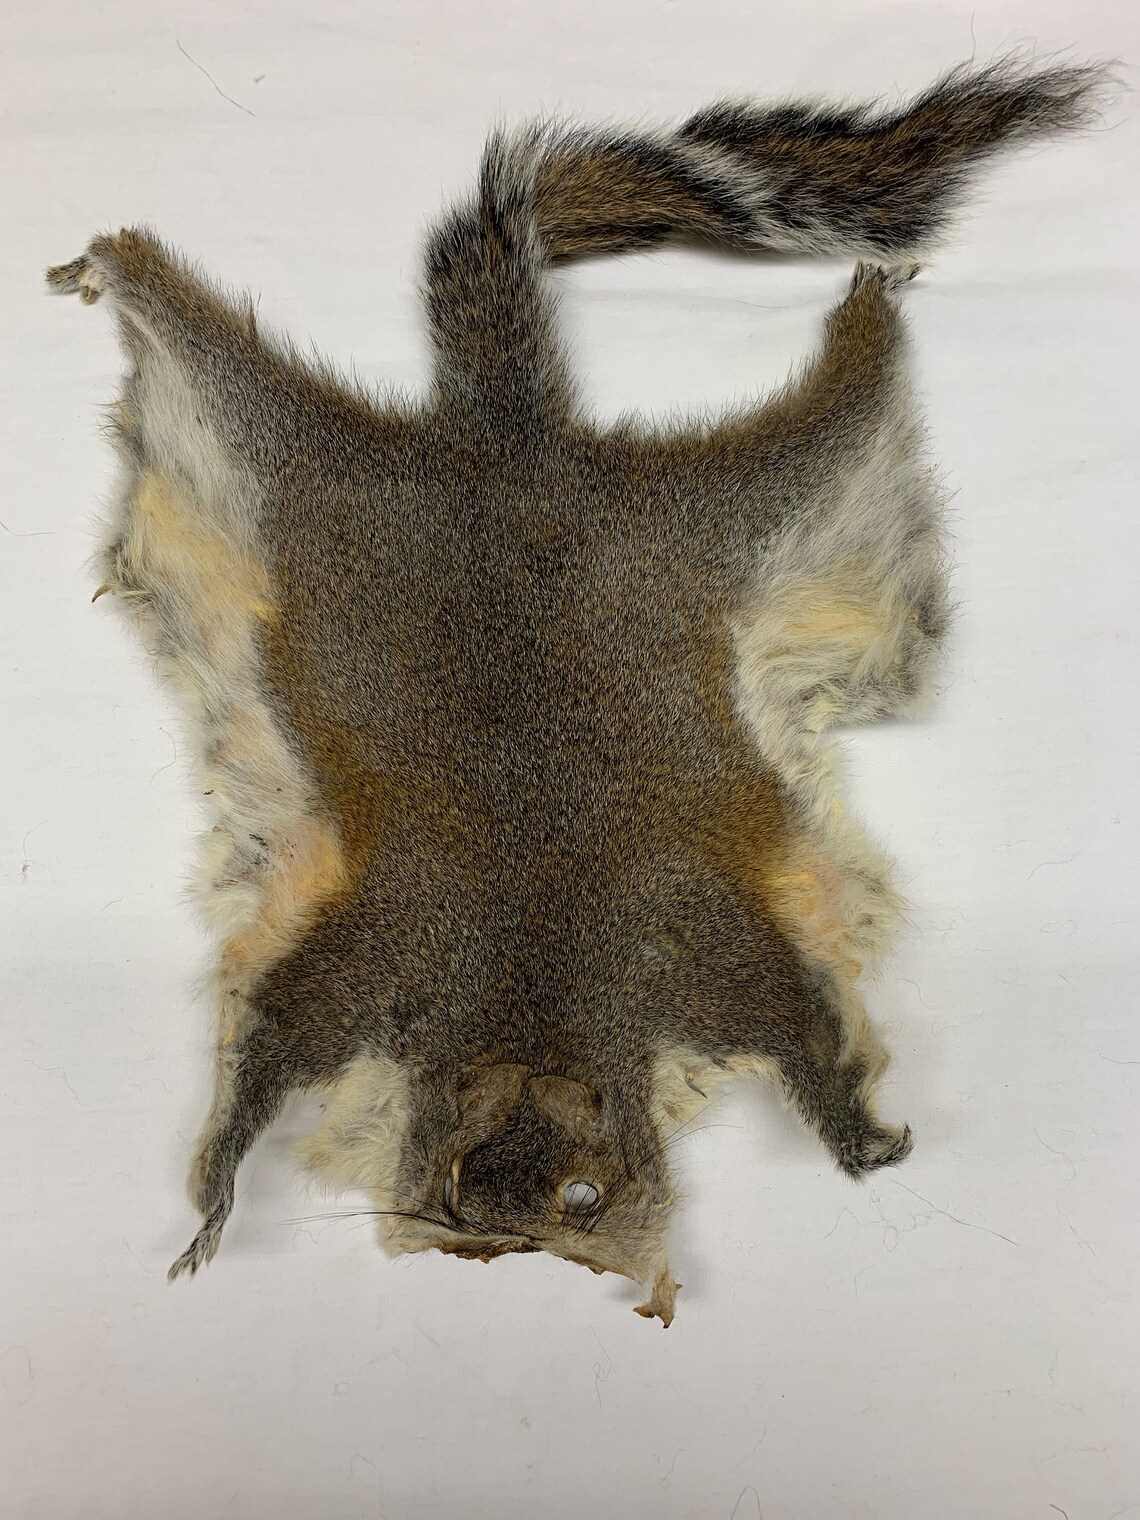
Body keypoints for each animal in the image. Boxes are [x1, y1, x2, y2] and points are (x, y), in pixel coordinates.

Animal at [48, 59, 1107, 1325]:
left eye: (590, 1193)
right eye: (446, 1179)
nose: (501, 1251)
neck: (532, 981)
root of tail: (511, 447)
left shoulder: (697, 953)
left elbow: (802, 1025)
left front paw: (859, 1133)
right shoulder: (371, 963)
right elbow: (263, 1051)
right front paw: (213, 1202)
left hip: (728, 505)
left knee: (853, 387)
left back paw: (868, 307)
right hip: (290, 459)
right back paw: (122, 266)